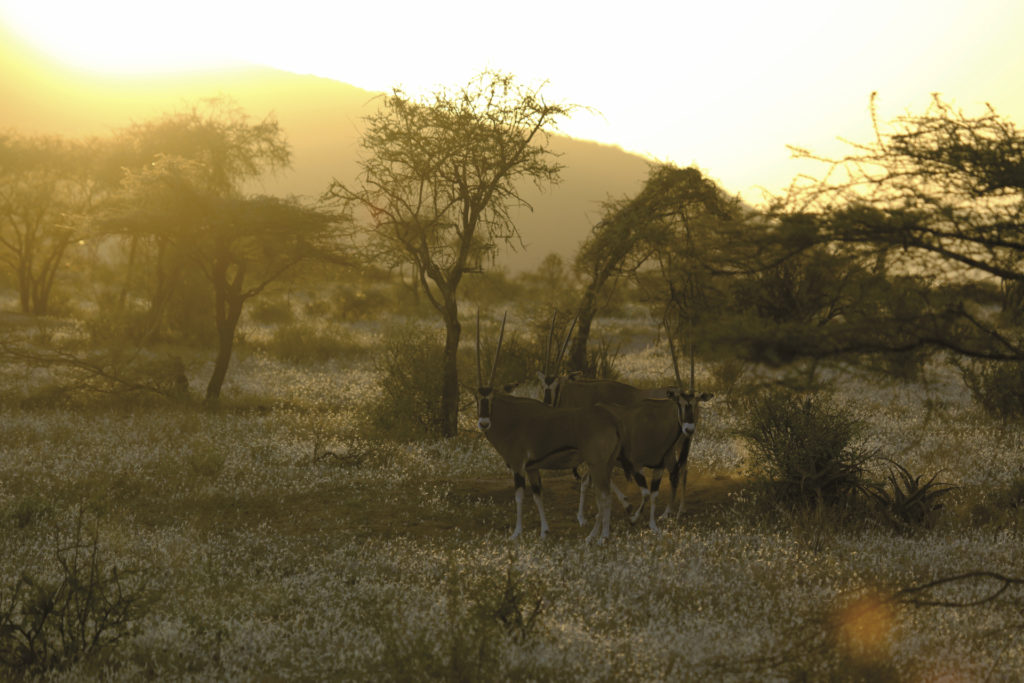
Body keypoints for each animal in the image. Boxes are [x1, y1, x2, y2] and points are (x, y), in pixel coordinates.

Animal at [473, 313, 618, 544]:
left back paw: (601, 536)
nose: (484, 423)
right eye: (477, 398)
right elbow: (537, 495)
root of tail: (611, 420)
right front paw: (544, 531)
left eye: (492, 397)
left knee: (604, 496)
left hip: (597, 464)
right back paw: (594, 535)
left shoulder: (518, 466)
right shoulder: (532, 467)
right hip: (604, 464)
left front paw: (516, 533)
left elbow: (519, 497)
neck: (511, 419)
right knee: (604, 496)